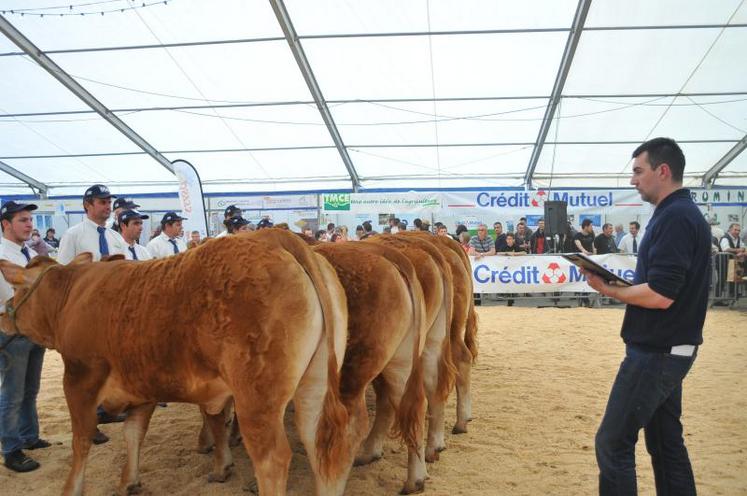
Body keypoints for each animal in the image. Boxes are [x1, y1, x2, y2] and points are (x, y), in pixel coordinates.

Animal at [0, 232, 354, 496]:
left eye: (16, 289)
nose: (4, 315)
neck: (72, 295)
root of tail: (279, 238)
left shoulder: (80, 375)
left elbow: (82, 439)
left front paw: (71, 488)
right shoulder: (141, 384)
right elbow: (133, 432)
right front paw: (128, 481)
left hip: (257, 397)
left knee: (274, 459)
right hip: (314, 386)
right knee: (323, 447)